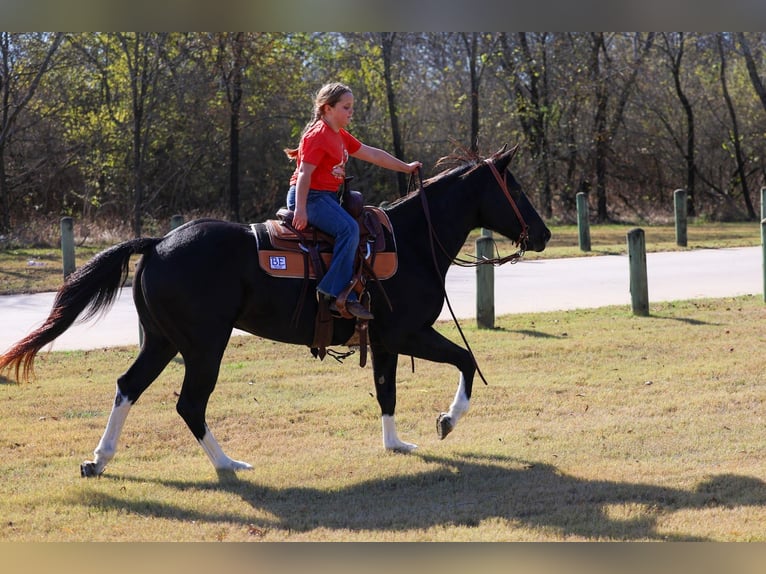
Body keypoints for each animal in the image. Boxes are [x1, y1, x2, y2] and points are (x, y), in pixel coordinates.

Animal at [0, 146, 550, 477]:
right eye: (517, 189)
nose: (543, 233)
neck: (412, 242)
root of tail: (158, 243)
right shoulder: (408, 333)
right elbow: (466, 361)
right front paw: (447, 420)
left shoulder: (383, 340)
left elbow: (386, 392)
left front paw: (396, 444)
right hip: (204, 346)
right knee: (189, 404)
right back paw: (228, 464)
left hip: (162, 341)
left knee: (127, 387)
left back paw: (99, 460)